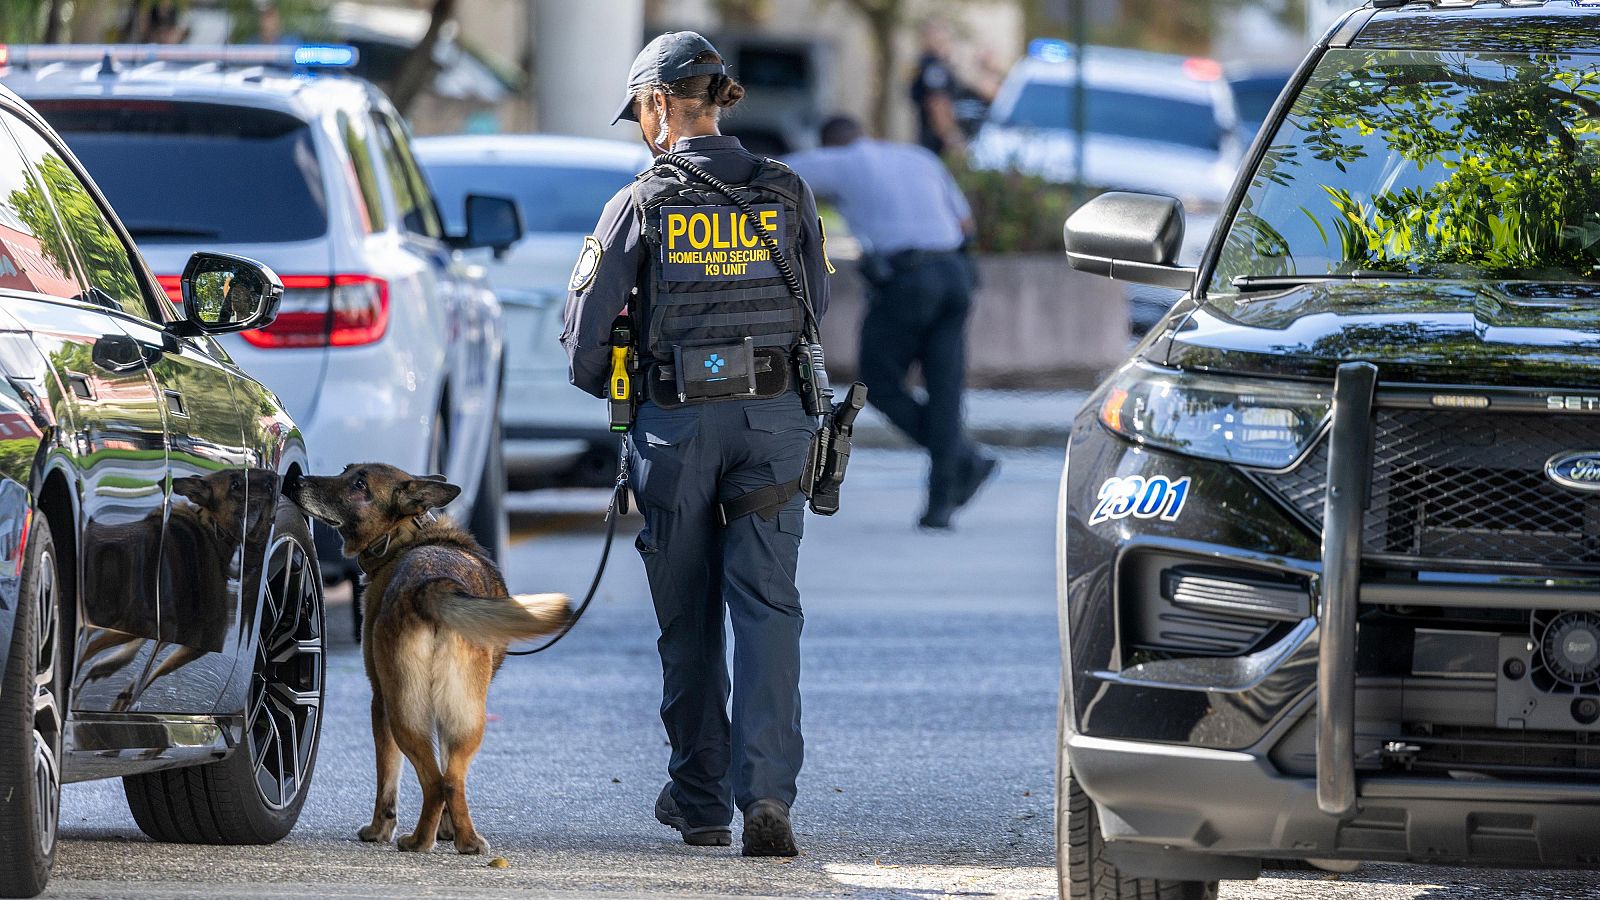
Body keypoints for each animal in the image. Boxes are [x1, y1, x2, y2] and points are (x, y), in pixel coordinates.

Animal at [286, 464, 569, 851]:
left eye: (359, 484)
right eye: (346, 471)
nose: (297, 481)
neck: (405, 535)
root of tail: (435, 585)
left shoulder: (379, 702)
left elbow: (387, 780)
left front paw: (379, 830)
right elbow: (447, 769)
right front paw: (448, 829)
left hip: (402, 713)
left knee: (433, 781)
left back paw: (418, 840)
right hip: (466, 717)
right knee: (451, 779)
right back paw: (467, 841)